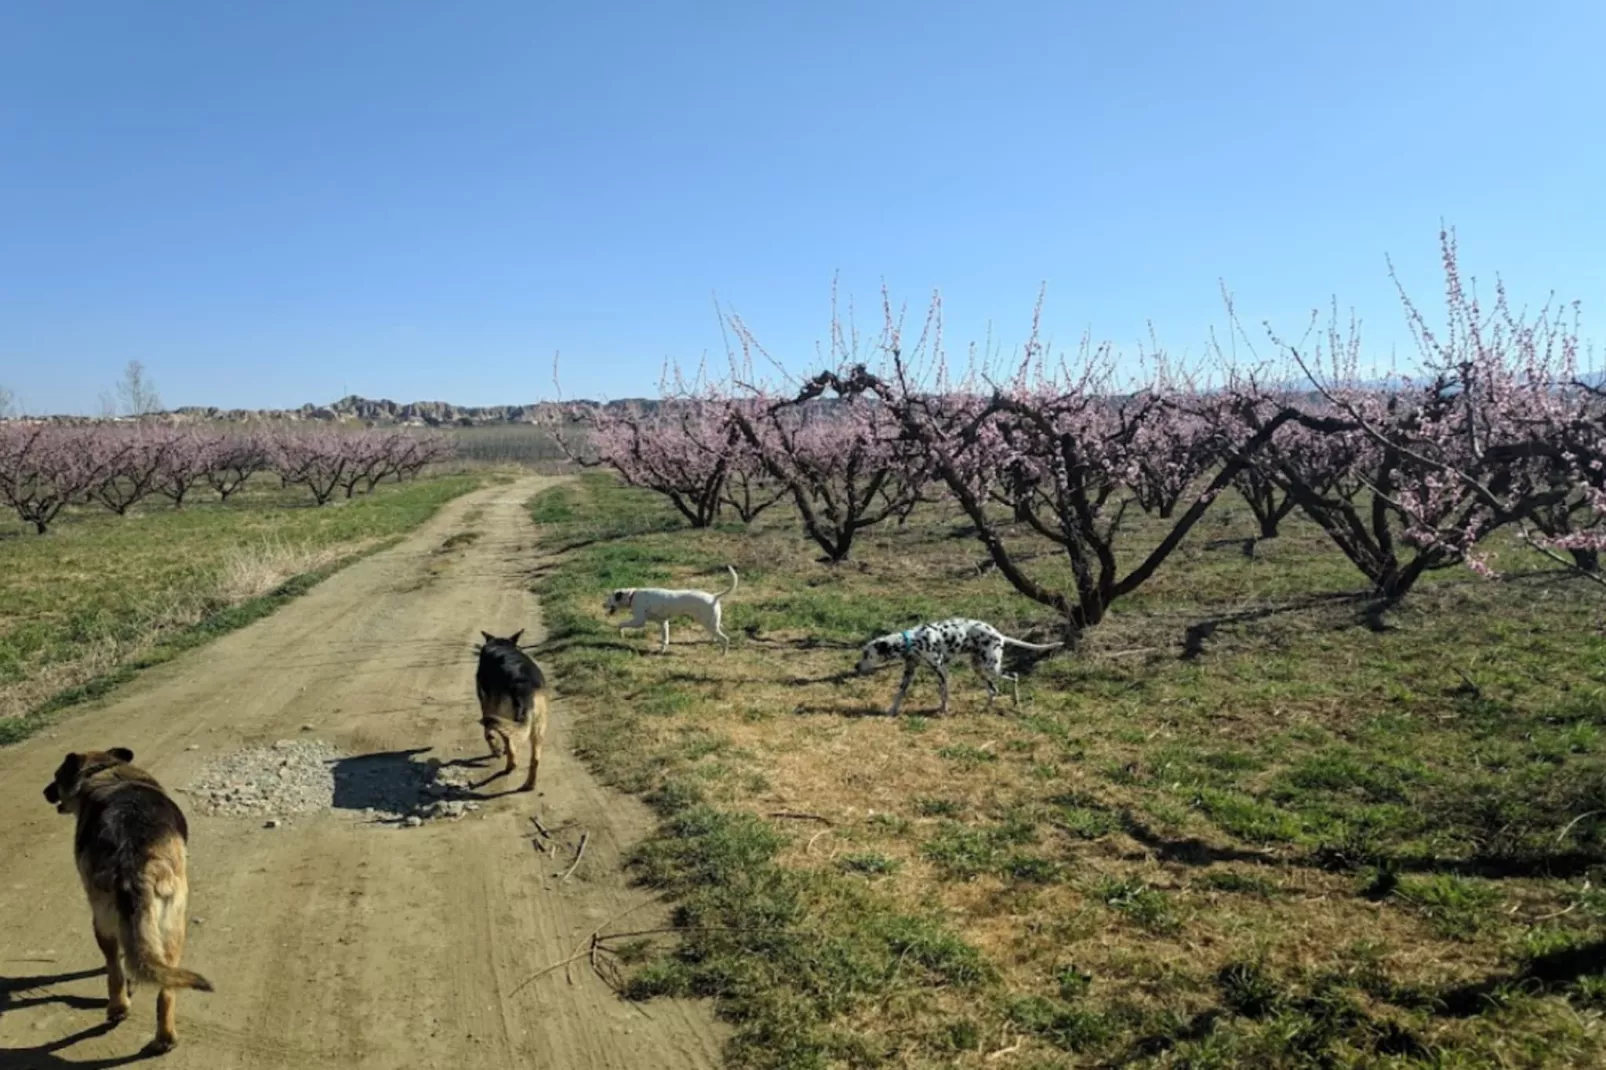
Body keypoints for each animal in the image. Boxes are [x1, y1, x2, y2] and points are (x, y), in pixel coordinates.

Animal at [42, 745, 211, 1053]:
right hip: (172, 926)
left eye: (56, 777)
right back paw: (164, 1036)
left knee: (114, 968)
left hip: (104, 921)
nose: (45, 792)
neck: (105, 769)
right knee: (165, 987)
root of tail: (131, 862)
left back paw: (119, 1006)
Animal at [472, 629, 549, 787]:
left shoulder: (487, 705)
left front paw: (496, 749)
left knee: (508, 741)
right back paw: (529, 785)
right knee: (535, 758)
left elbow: (488, 733)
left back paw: (510, 766)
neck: (501, 644)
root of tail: (525, 690)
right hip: (538, 727)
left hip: (501, 714)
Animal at [854, 613, 1066, 713]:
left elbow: (944, 693)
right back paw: (986, 708)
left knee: (1013, 676)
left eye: (866, 654)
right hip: (979, 668)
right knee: (994, 689)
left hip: (991, 667)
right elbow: (899, 694)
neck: (913, 640)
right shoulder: (909, 672)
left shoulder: (941, 671)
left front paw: (943, 710)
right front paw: (892, 710)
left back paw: (1015, 701)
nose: (856, 667)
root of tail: (999, 635)